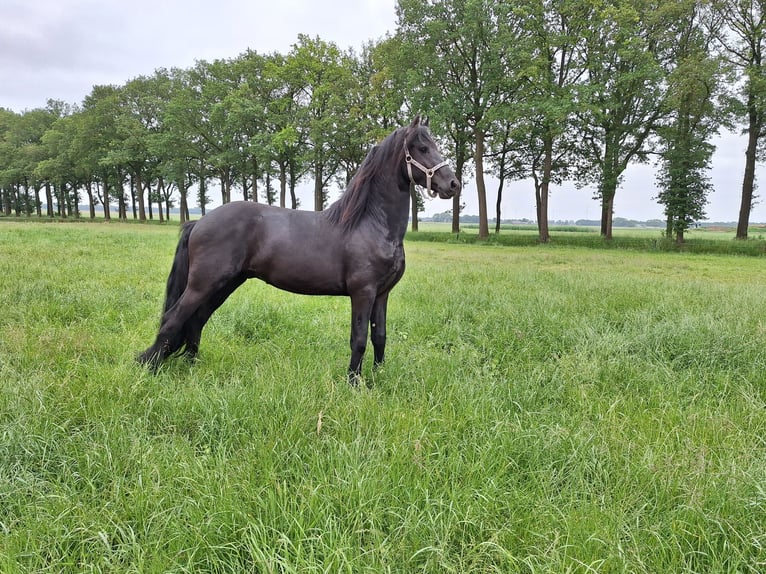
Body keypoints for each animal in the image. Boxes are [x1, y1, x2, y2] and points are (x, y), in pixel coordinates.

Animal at [136, 116, 462, 382]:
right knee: (174, 318)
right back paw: (149, 368)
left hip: (225, 283)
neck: (371, 223)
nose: (453, 184)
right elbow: (358, 339)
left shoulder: (382, 294)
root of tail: (199, 222)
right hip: (204, 283)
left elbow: (379, 336)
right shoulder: (363, 292)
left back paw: (192, 366)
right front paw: (354, 384)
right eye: (421, 148)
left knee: (196, 320)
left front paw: (378, 378)